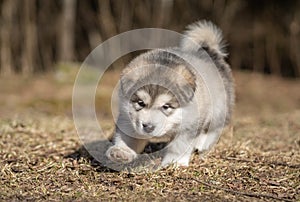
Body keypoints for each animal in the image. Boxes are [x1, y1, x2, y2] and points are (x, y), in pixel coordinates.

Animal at [105, 20, 234, 167]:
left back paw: (202, 143)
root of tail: (210, 53)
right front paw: (121, 151)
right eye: (140, 103)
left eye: (166, 106)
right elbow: (128, 137)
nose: (148, 127)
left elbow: (179, 145)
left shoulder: (189, 125)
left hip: (219, 108)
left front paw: (175, 162)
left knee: (212, 128)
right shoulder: (127, 117)